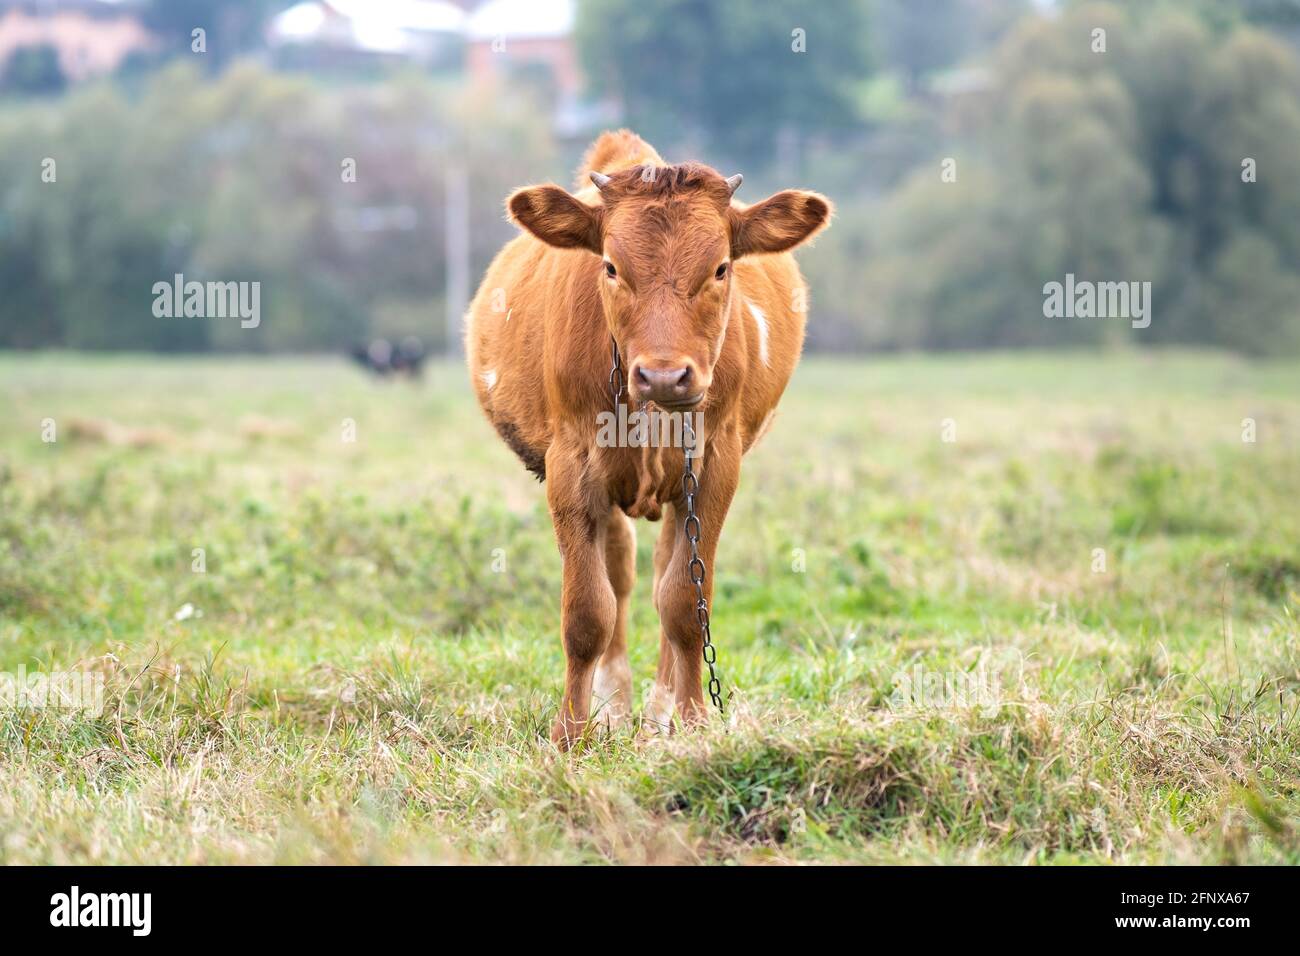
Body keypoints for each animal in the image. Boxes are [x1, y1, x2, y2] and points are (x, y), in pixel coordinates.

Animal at [466, 130, 831, 748]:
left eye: (720, 268)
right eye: (611, 267)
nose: (664, 375)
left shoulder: (715, 467)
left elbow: (685, 602)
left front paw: (692, 720)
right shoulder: (570, 468)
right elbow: (588, 611)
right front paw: (572, 733)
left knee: (663, 575)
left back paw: (659, 710)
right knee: (620, 573)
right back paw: (614, 705)